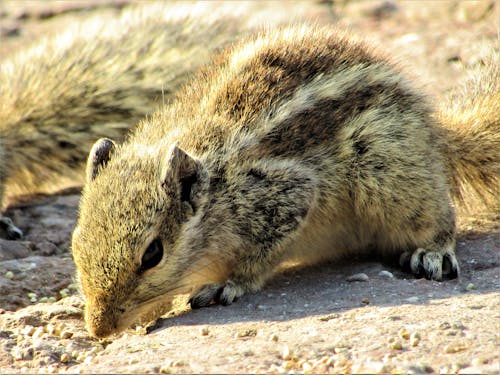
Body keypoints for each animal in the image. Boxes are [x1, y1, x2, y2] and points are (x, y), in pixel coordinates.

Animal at [70, 25, 496, 340]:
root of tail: (436, 133)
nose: (99, 329)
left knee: (439, 216)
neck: (215, 193)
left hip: (389, 171)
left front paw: (226, 285)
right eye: (76, 243)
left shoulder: (284, 196)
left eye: (152, 254)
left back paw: (433, 252)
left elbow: (256, 259)